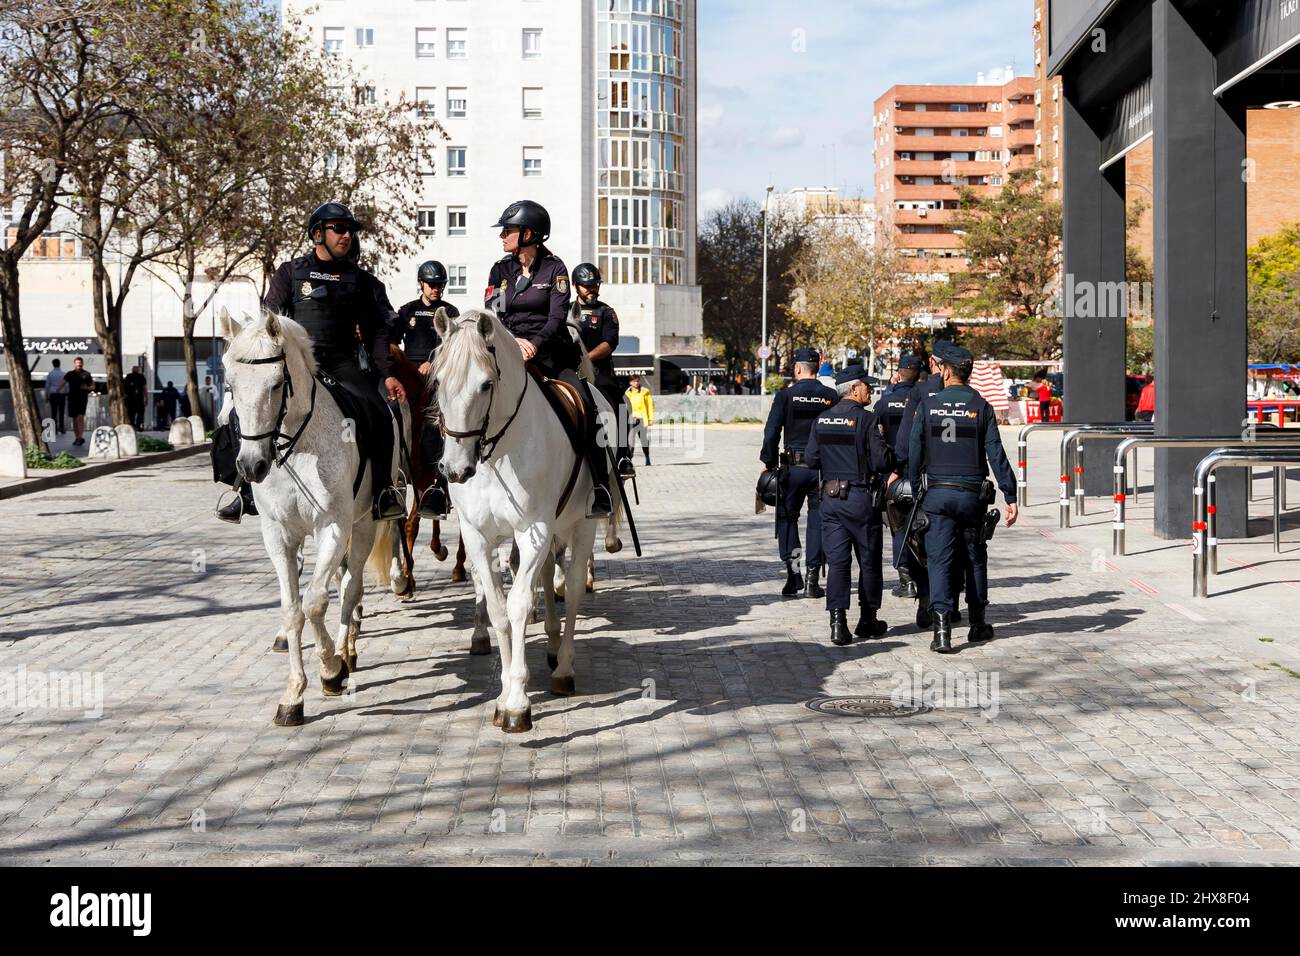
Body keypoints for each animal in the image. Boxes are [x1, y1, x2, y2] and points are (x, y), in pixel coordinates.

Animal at [223, 312, 397, 723]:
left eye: (275, 385)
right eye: (230, 385)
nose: (251, 466)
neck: (298, 446)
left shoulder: (332, 526)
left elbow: (316, 602)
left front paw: (331, 670)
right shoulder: (278, 535)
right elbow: (292, 610)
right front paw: (293, 695)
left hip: (363, 524)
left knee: (350, 586)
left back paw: (347, 651)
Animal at [434, 306, 621, 733]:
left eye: (486, 384)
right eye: (437, 381)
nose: (454, 470)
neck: (497, 450)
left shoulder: (533, 529)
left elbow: (519, 603)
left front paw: (519, 702)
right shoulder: (478, 536)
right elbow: (498, 607)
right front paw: (504, 693)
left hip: (582, 523)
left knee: (571, 589)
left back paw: (564, 666)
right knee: (549, 574)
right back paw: (551, 644)